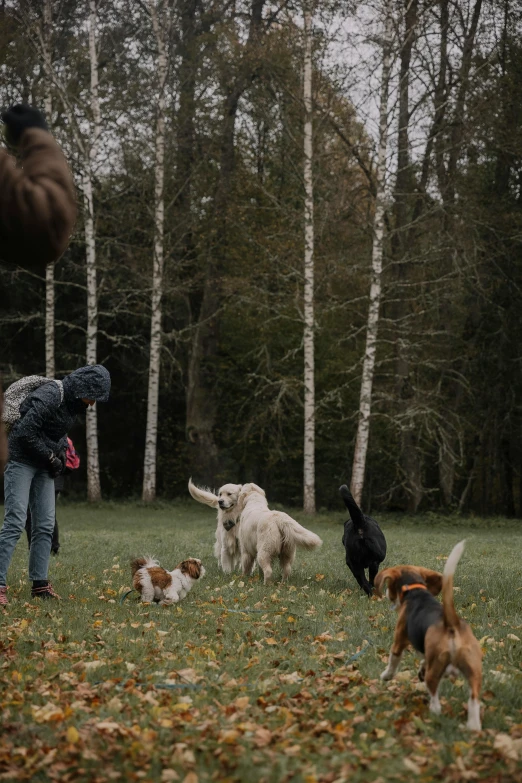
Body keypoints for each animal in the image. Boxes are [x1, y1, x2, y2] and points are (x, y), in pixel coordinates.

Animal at [374, 544, 480, 732]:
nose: (386, 593)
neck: (415, 591)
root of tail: (451, 624)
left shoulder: (399, 641)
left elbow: (393, 661)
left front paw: (386, 675)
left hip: (436, 668)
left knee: (434, 695)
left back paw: (433, 712)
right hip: (473, 670)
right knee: (474, 700)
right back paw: (473, 726)